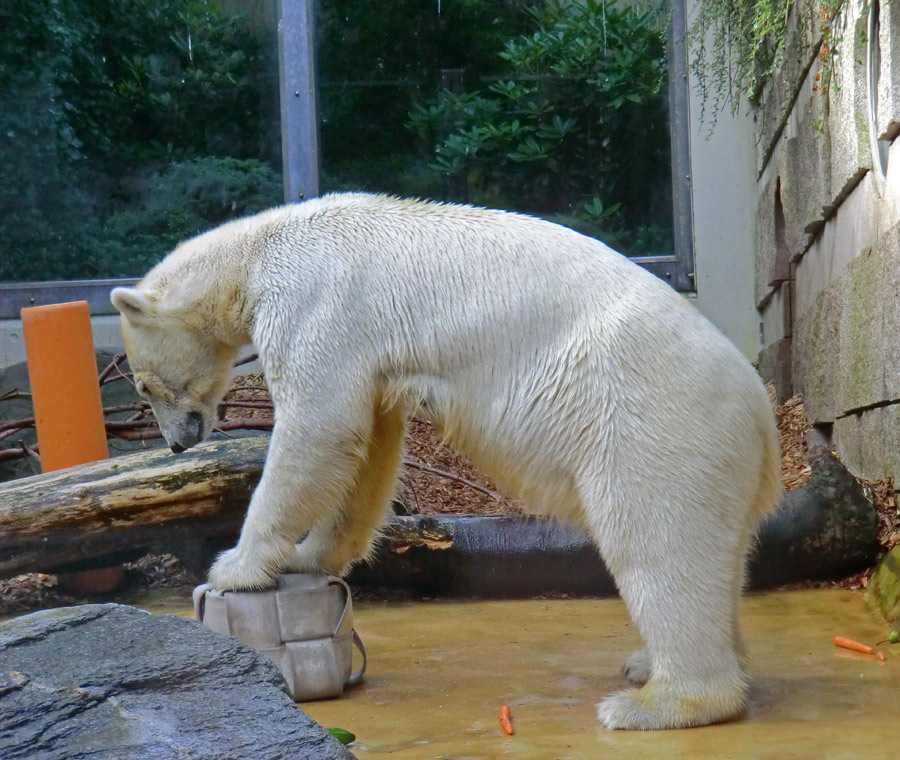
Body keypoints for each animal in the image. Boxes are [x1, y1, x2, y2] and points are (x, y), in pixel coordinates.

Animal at [112, 193, 780, 728]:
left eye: (142, 384)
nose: (178, 442)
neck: (256, 252)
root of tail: (766, 418)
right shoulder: (367, 354)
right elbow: (370, 443)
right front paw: (309, 557)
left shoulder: (317, 305)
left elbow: (319, 424)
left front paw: (235, 565)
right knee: (717, 559)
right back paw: (652, 666)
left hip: (653, 422)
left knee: (656, 545)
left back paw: (657, 703)